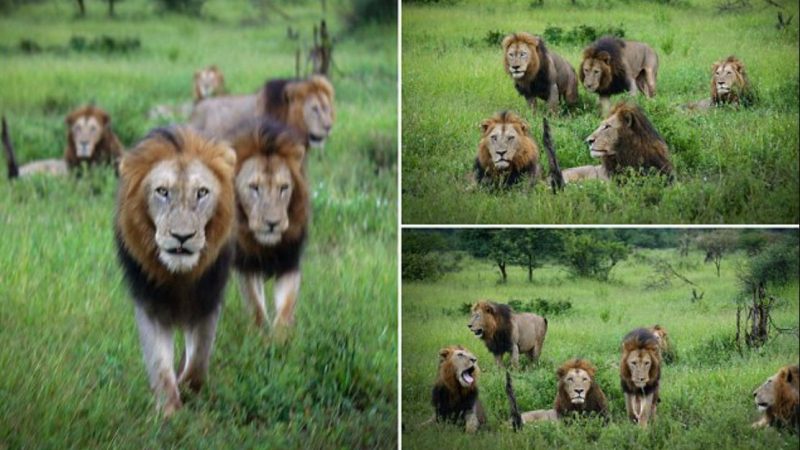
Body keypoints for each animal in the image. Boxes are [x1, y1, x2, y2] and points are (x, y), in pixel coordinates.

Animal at [115, 125, 238, 416]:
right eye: (162, 191)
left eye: (202, 192)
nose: (182, 237)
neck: (179, 276)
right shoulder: (150, 304)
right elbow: (159, 365)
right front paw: (169, 410)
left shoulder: (208, 299)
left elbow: (199, 359)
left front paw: (188, 388)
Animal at [230, 117, 310, 338]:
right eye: (254, 188)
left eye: (284, 188)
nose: (272, 223)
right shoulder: (246, 265)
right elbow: (255, 305)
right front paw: (259, 335)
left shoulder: (289, 262)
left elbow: (286, 305)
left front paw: (280, 337)